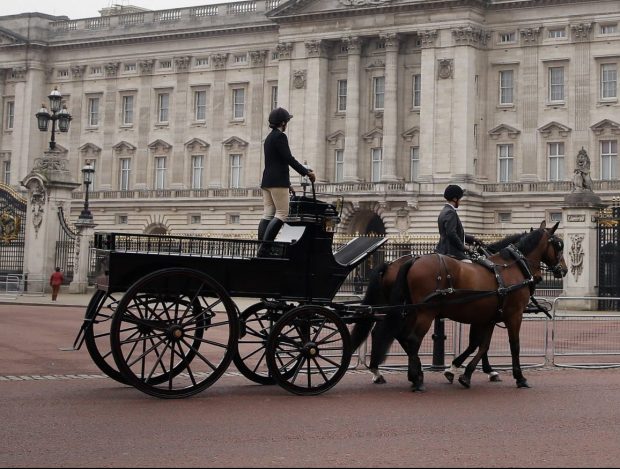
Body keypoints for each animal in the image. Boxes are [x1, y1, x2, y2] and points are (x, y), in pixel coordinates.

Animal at [370, 221, 568, 390]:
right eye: (559, 245)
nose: (564, 270)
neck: (512, 266)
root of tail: (411, 260)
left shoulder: (489, 317)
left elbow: (481, 345)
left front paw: (463, 372)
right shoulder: (514, 315)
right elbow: (513, 345)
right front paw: (519, 377)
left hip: (410, 311)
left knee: (398, 334)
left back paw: (405, 373)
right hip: (425, 312)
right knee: (410, 339)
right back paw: (414, 379)